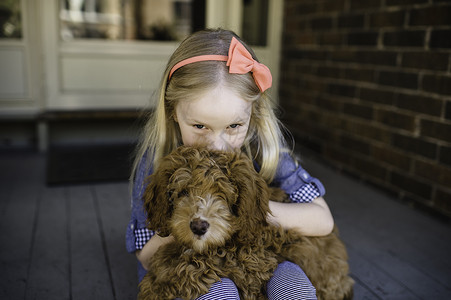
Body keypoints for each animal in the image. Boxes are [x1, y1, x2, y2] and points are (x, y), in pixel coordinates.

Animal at [139, 145, 354, 300]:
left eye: (221, 195)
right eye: (183, 192)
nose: (198, 227)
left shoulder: (250, 264)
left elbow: (195, 265)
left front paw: (155, 284)